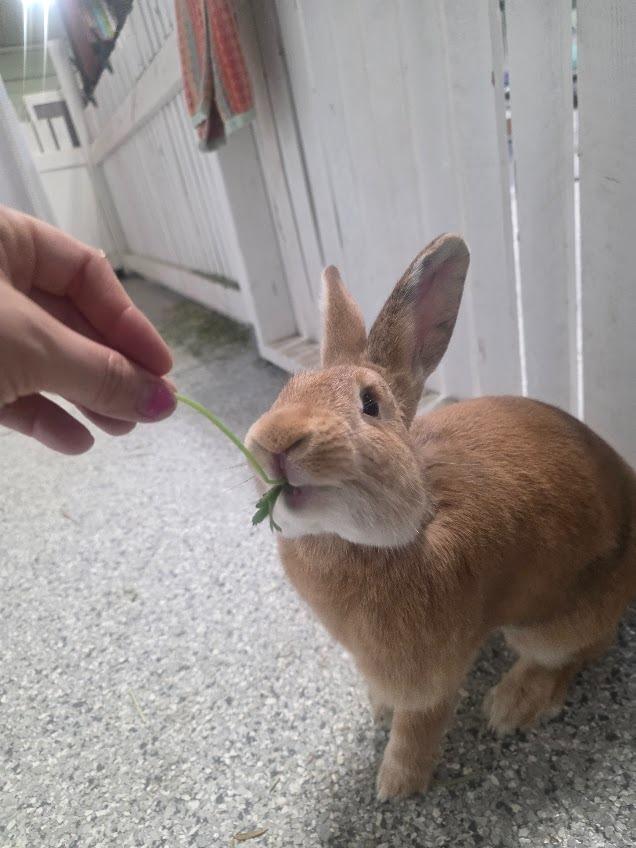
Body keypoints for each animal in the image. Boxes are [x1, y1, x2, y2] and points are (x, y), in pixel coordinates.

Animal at [245, 234, 636, 800]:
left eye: (371, 404)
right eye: (284, 392)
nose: (276, 440)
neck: (410, 529)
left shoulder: (428, 674)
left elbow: (418, 725)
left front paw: (395, 786)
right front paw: (377, 712)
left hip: (555, 624)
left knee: (576, 654)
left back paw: (511, 706)